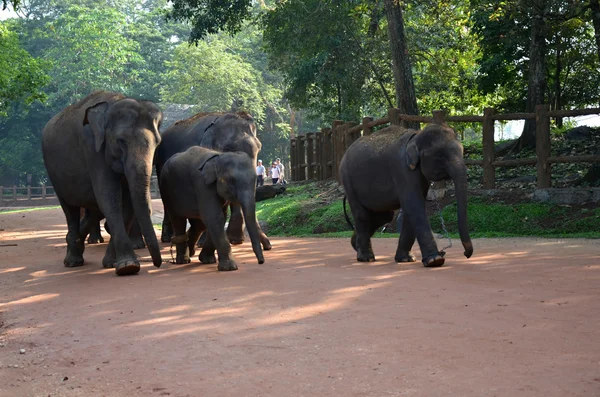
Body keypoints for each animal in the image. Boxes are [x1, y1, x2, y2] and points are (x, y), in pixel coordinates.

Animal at [41, 91, 164, 274]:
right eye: (121, 141)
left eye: (158, 142)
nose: (157, 264)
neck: (114, 102)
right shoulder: (92, 148)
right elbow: (108, 195)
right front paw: (128, 266)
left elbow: (126, 202)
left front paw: (114, 263)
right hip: (54, 174)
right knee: (70, 209)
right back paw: (72, 261)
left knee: (94, 209)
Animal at [157, 110, 274, 249]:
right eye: (228, 149)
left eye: (259, 148)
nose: (268, 246)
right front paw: (204, 243)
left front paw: (235, 240)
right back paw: (167, 238)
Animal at [340, 124, 472, 266]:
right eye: (440, 155)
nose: (466, 254)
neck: (416, 136)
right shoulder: (402, 169)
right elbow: (414, 205)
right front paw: (435, 260)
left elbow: (411, 209)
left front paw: (406, 259)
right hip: (348, 180)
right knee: (362, 215)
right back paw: (366, 258)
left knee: (383, 216)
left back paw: (355, 245)